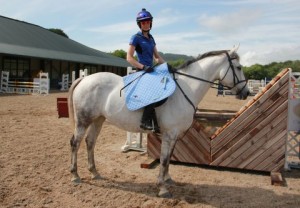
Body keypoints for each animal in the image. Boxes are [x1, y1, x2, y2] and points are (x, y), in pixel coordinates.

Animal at [69, 45, 250, 197]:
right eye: (239, 68)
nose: (246, 93)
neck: (185, 89)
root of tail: (84, 79)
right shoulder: (169, 134)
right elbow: (163, 159)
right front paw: (162, 188)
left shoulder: (175, 135)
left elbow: (168, 158)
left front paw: (168, 180)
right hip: (83, 121)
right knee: (76, 143)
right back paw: (75, 175)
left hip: (98, 120)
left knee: (90, 142)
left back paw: (94, 172)